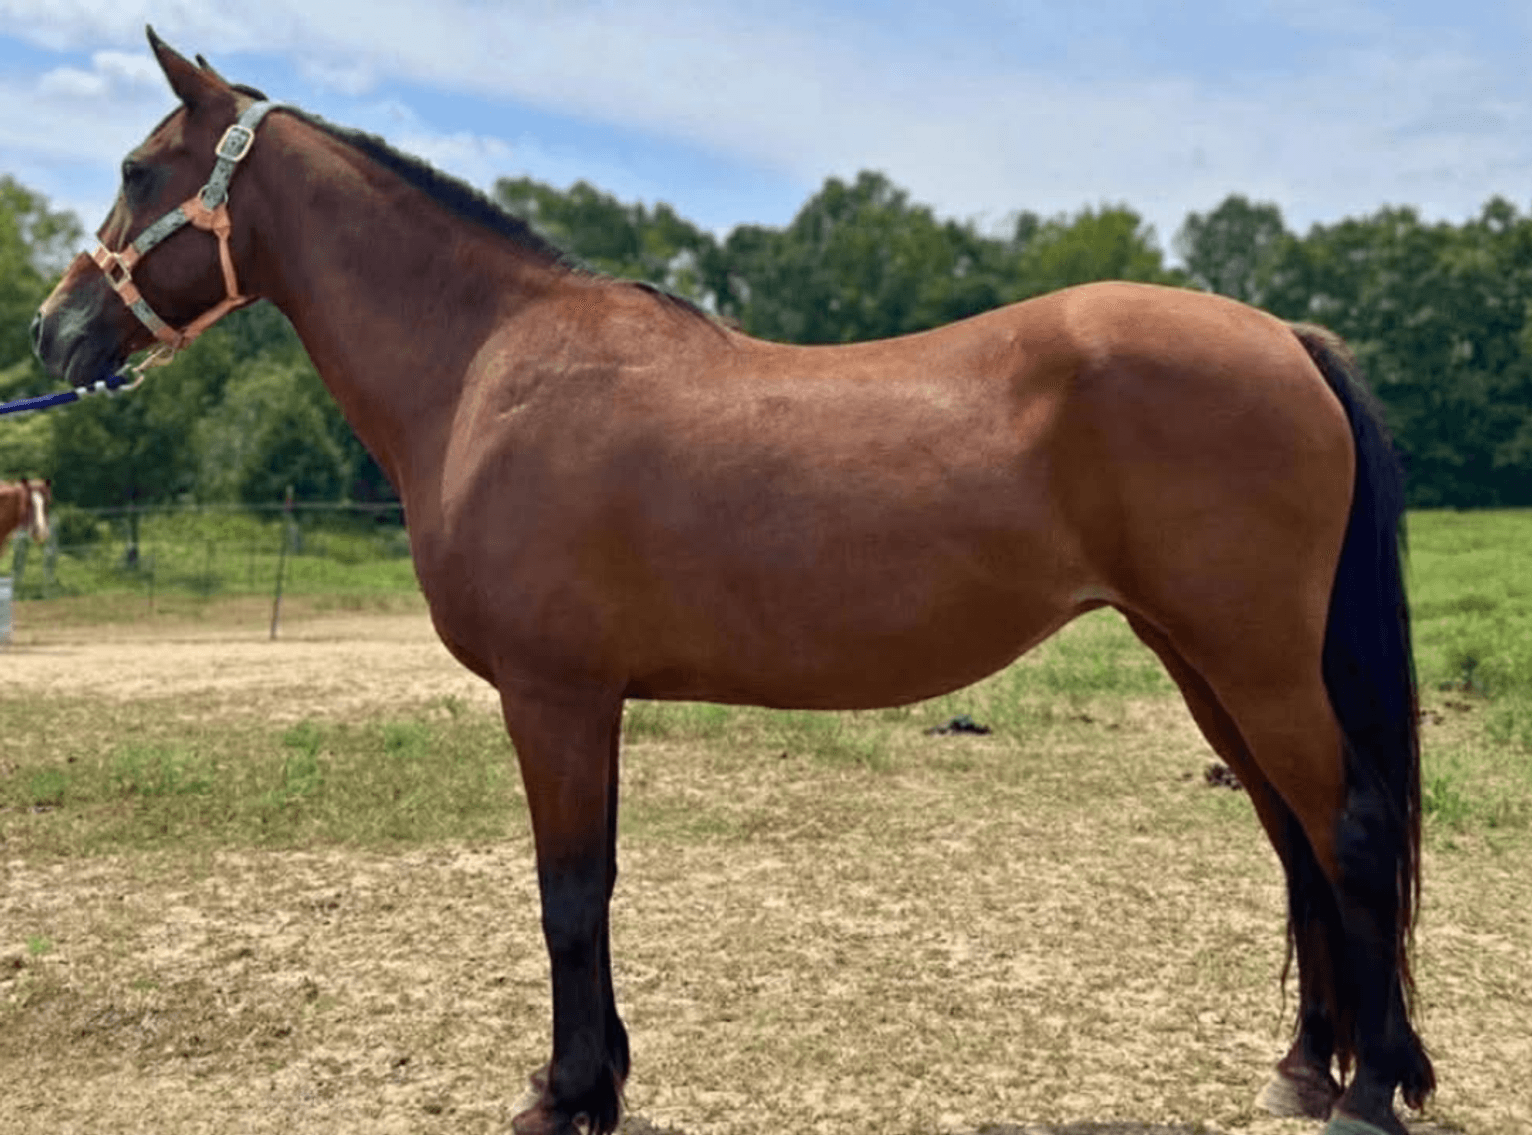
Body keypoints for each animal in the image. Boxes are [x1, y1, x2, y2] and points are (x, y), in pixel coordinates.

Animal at [31, 30, 1434, 1135]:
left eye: (138, 171)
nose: (54, 332)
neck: (489, 362)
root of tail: (1283, 338)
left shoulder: (553, 695)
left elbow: (567, 892)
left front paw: (565, 1093)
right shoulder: (581, 701)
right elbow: (590, 884)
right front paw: (597, 1079)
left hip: (1251, 660)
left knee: (1349, 830)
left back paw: (1368, 1095)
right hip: (1203, 660)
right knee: (1295, 839)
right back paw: (1310, 1067)